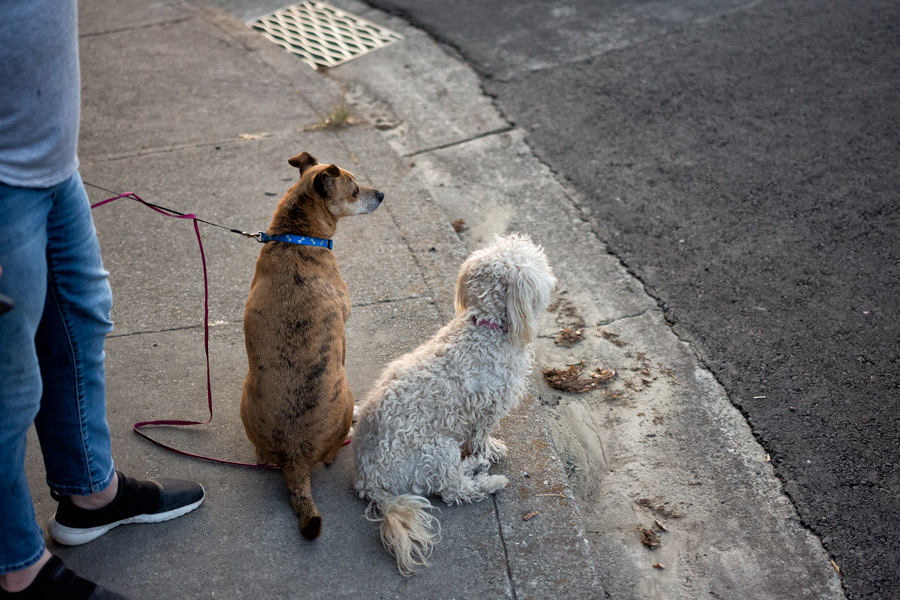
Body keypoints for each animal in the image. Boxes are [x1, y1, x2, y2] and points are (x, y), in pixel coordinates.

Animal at [241, 151, 382, 540]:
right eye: (354, 190)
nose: (382, 194)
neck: (298, 238)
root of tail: (295, 457)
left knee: (260, 453)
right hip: (346, 396)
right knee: (332, 451)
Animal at [354, 232, 556, 576]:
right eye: (537, 265)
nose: (554, 280)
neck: (485, 327)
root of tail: (370, 483)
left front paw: (484, 455)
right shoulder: (489, 406)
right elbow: (481, 436)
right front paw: (490, 451)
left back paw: (475, 467)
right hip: (436, 450)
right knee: (452, 489)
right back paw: (489, 480)